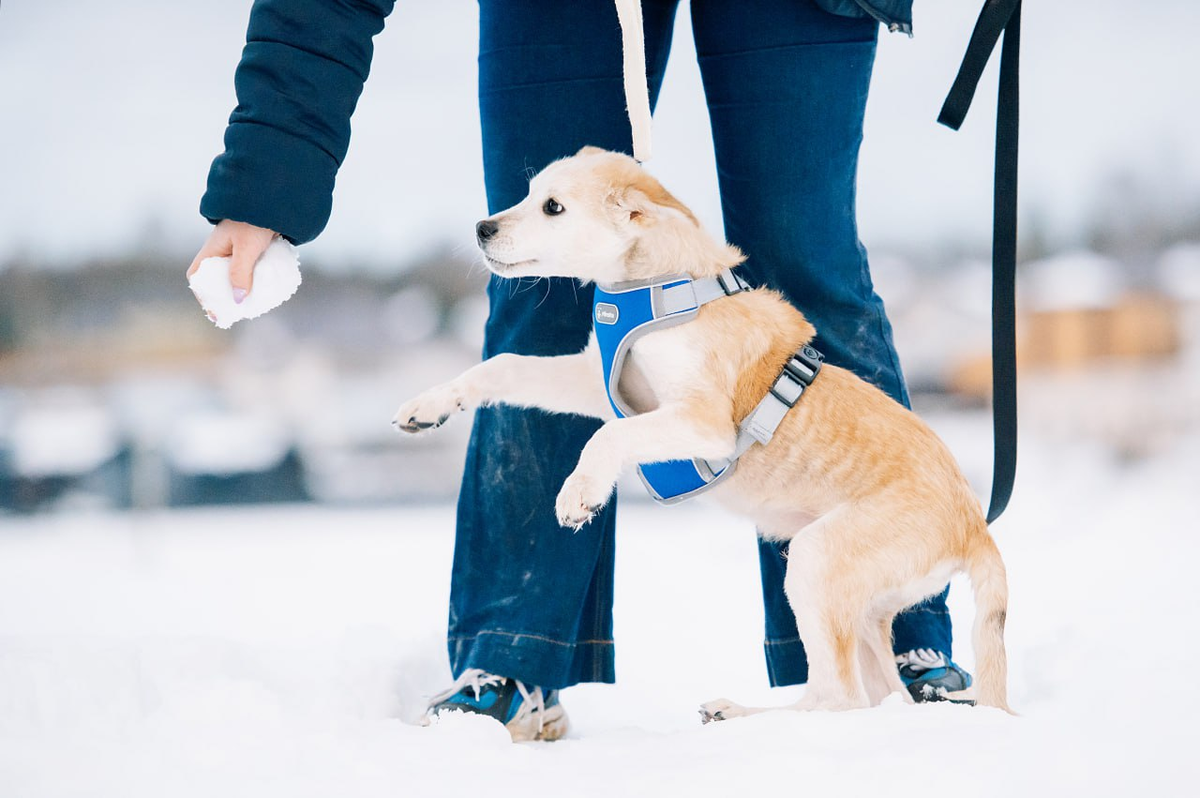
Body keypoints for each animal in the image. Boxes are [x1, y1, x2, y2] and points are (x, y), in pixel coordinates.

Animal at [396, 146, 1012, 710]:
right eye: (528, 194)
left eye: (553, 207)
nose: (481, 228)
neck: (658, 287)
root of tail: (973, 530)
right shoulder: (599, 385)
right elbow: (503, 366)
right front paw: (429, 405)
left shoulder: (702, 421)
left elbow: (606, 437)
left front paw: (579, 494)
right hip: (859, 608)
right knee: (882, 701)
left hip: (815, 559)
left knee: (839, 697)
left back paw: (739, 715)